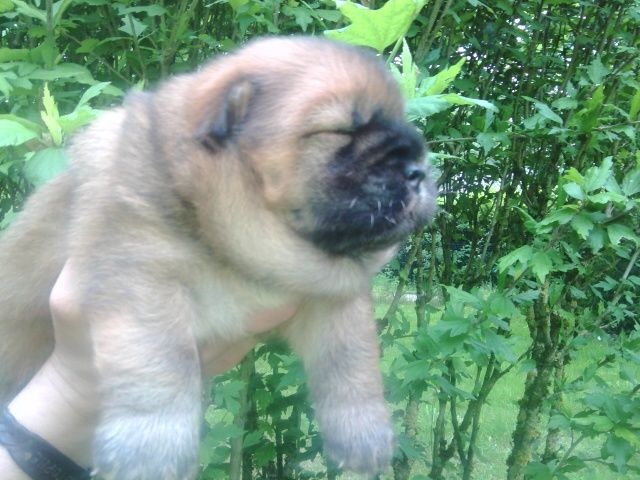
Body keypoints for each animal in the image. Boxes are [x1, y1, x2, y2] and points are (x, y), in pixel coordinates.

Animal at [0, 35, 436, 478]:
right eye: (340, 130)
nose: (418, 169)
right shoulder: (140, 275)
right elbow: (160, 365)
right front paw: (150, 451)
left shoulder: (332, 298)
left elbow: (352, 363)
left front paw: (365, 435)